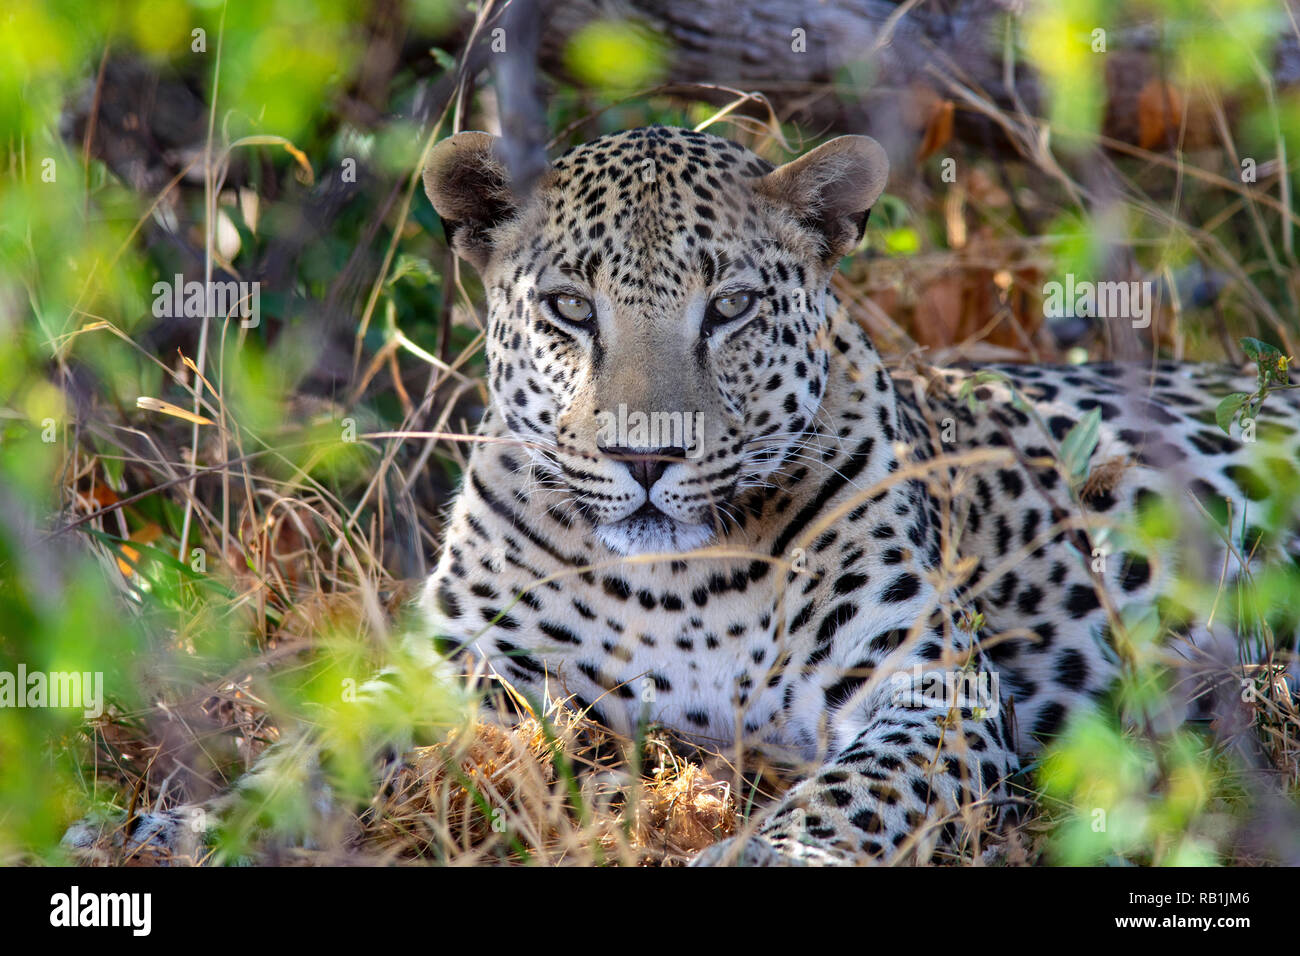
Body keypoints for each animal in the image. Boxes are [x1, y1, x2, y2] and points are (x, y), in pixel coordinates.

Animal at [417, 124, 1300, 866]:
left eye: (731, 307)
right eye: (569, 307)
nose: (647, 456)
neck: (674, 586)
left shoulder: (933, 691)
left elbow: (845, 801)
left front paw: (754, 855)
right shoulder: (464, 665)